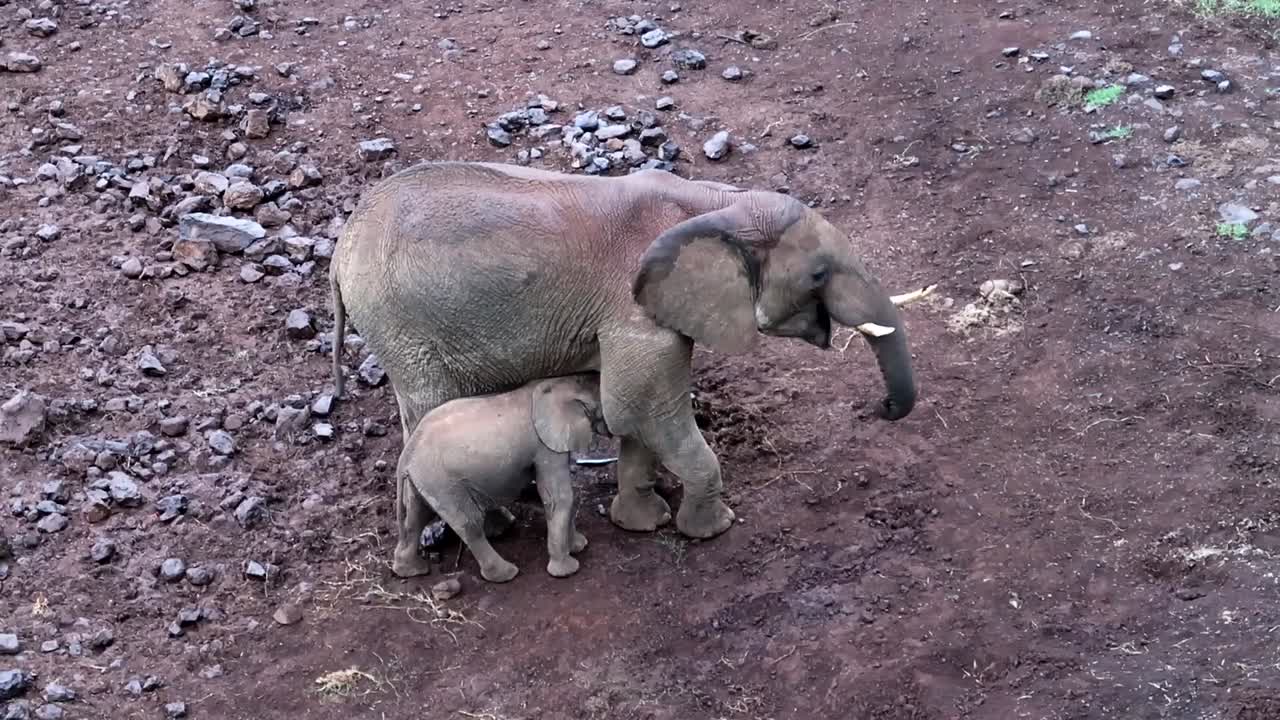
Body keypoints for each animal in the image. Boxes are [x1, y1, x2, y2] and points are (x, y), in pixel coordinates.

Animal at [396, 373, 606, 583]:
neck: (563, 384)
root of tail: (406, 453)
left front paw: (579, 546)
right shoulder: (545, 446)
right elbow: (560, 497)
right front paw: (568, 570)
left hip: (425, 481)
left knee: (417, 515)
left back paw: (411, 570)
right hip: (443, 482)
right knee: (469, 523)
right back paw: (506, 574)